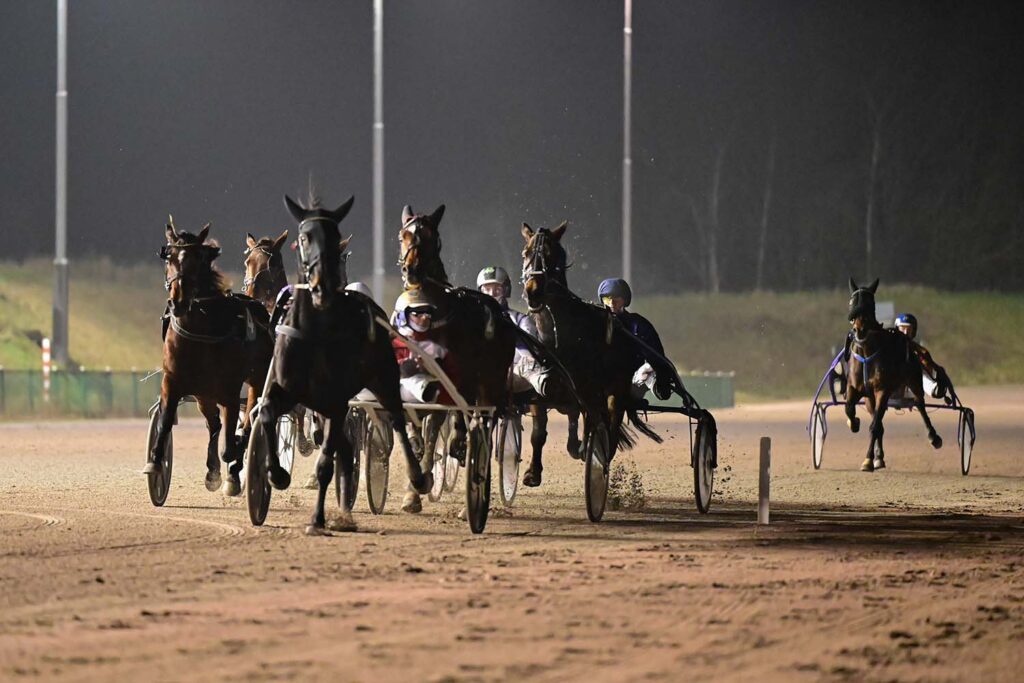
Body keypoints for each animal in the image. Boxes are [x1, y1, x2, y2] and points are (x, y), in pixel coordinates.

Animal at [146, 218, 273, 496]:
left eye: (198, 259)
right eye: (169, 257)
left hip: (255, 380)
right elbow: (165, 421)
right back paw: (214, 470)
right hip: (203, 392)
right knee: (214, 424)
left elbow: (231, 444)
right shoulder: (172, 381)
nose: (178, 302)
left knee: (248, 419)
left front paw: (234, 465)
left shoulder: (230, 389)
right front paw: (156, 463)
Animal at [257, 193, 432, 534]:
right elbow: (268, 412)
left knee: (396, 420)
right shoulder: (288, 389)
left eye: (336, 238)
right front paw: (276, 473)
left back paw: (417, 479)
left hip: (383, 379)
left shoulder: (337, 402)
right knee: (346, 446)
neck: (314, 333)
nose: (323, 283)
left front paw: (317, 519)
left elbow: (326, 462)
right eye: (303, 237)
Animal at [520, 221, 665, 484]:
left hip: (616, 390)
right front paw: (532, 472)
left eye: (552, 255)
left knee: (610, 424)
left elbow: (592, 427)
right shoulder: (539, 388)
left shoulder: (589, 392)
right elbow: (539, 432)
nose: (533, 291)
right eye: (525, 253)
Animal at [845, 278, 943, 471]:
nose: (859, 329)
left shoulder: (883, 390)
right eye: (852, 301)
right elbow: (850, 409)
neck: (866, 352)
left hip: (914, 381)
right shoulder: (856, 388)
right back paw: (879, 457)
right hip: (870, 398)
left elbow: (874, 427)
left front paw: (867, 460)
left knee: (920, 405)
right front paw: (854, 423)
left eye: (871, 303)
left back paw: (933, 436)